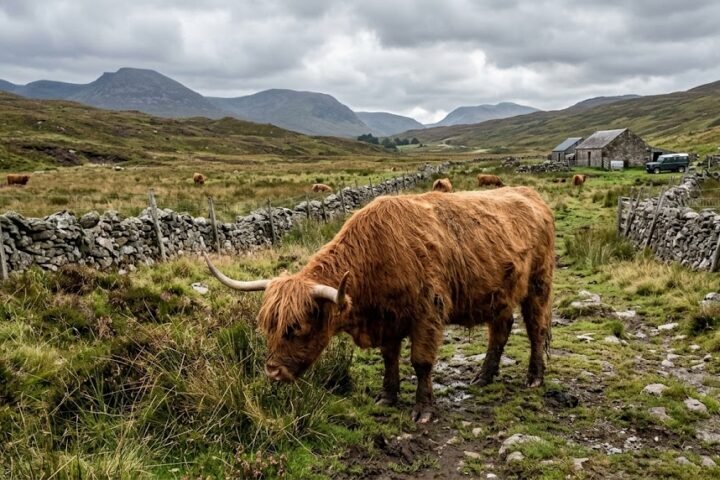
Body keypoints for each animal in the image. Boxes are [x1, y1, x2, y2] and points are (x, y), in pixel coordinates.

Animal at [204, 187, 555, 423]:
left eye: (297, 328)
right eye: (268, 328)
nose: (273, 372)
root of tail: (529, 192)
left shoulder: (428, 313)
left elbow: (421, 362)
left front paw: (423, 410)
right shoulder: (388, 319)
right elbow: (389, 359)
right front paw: (387, 397)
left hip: (539, 284)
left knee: (536, 328)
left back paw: (534, 377)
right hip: (501, 293)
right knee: (501, 329)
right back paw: (484, 376)